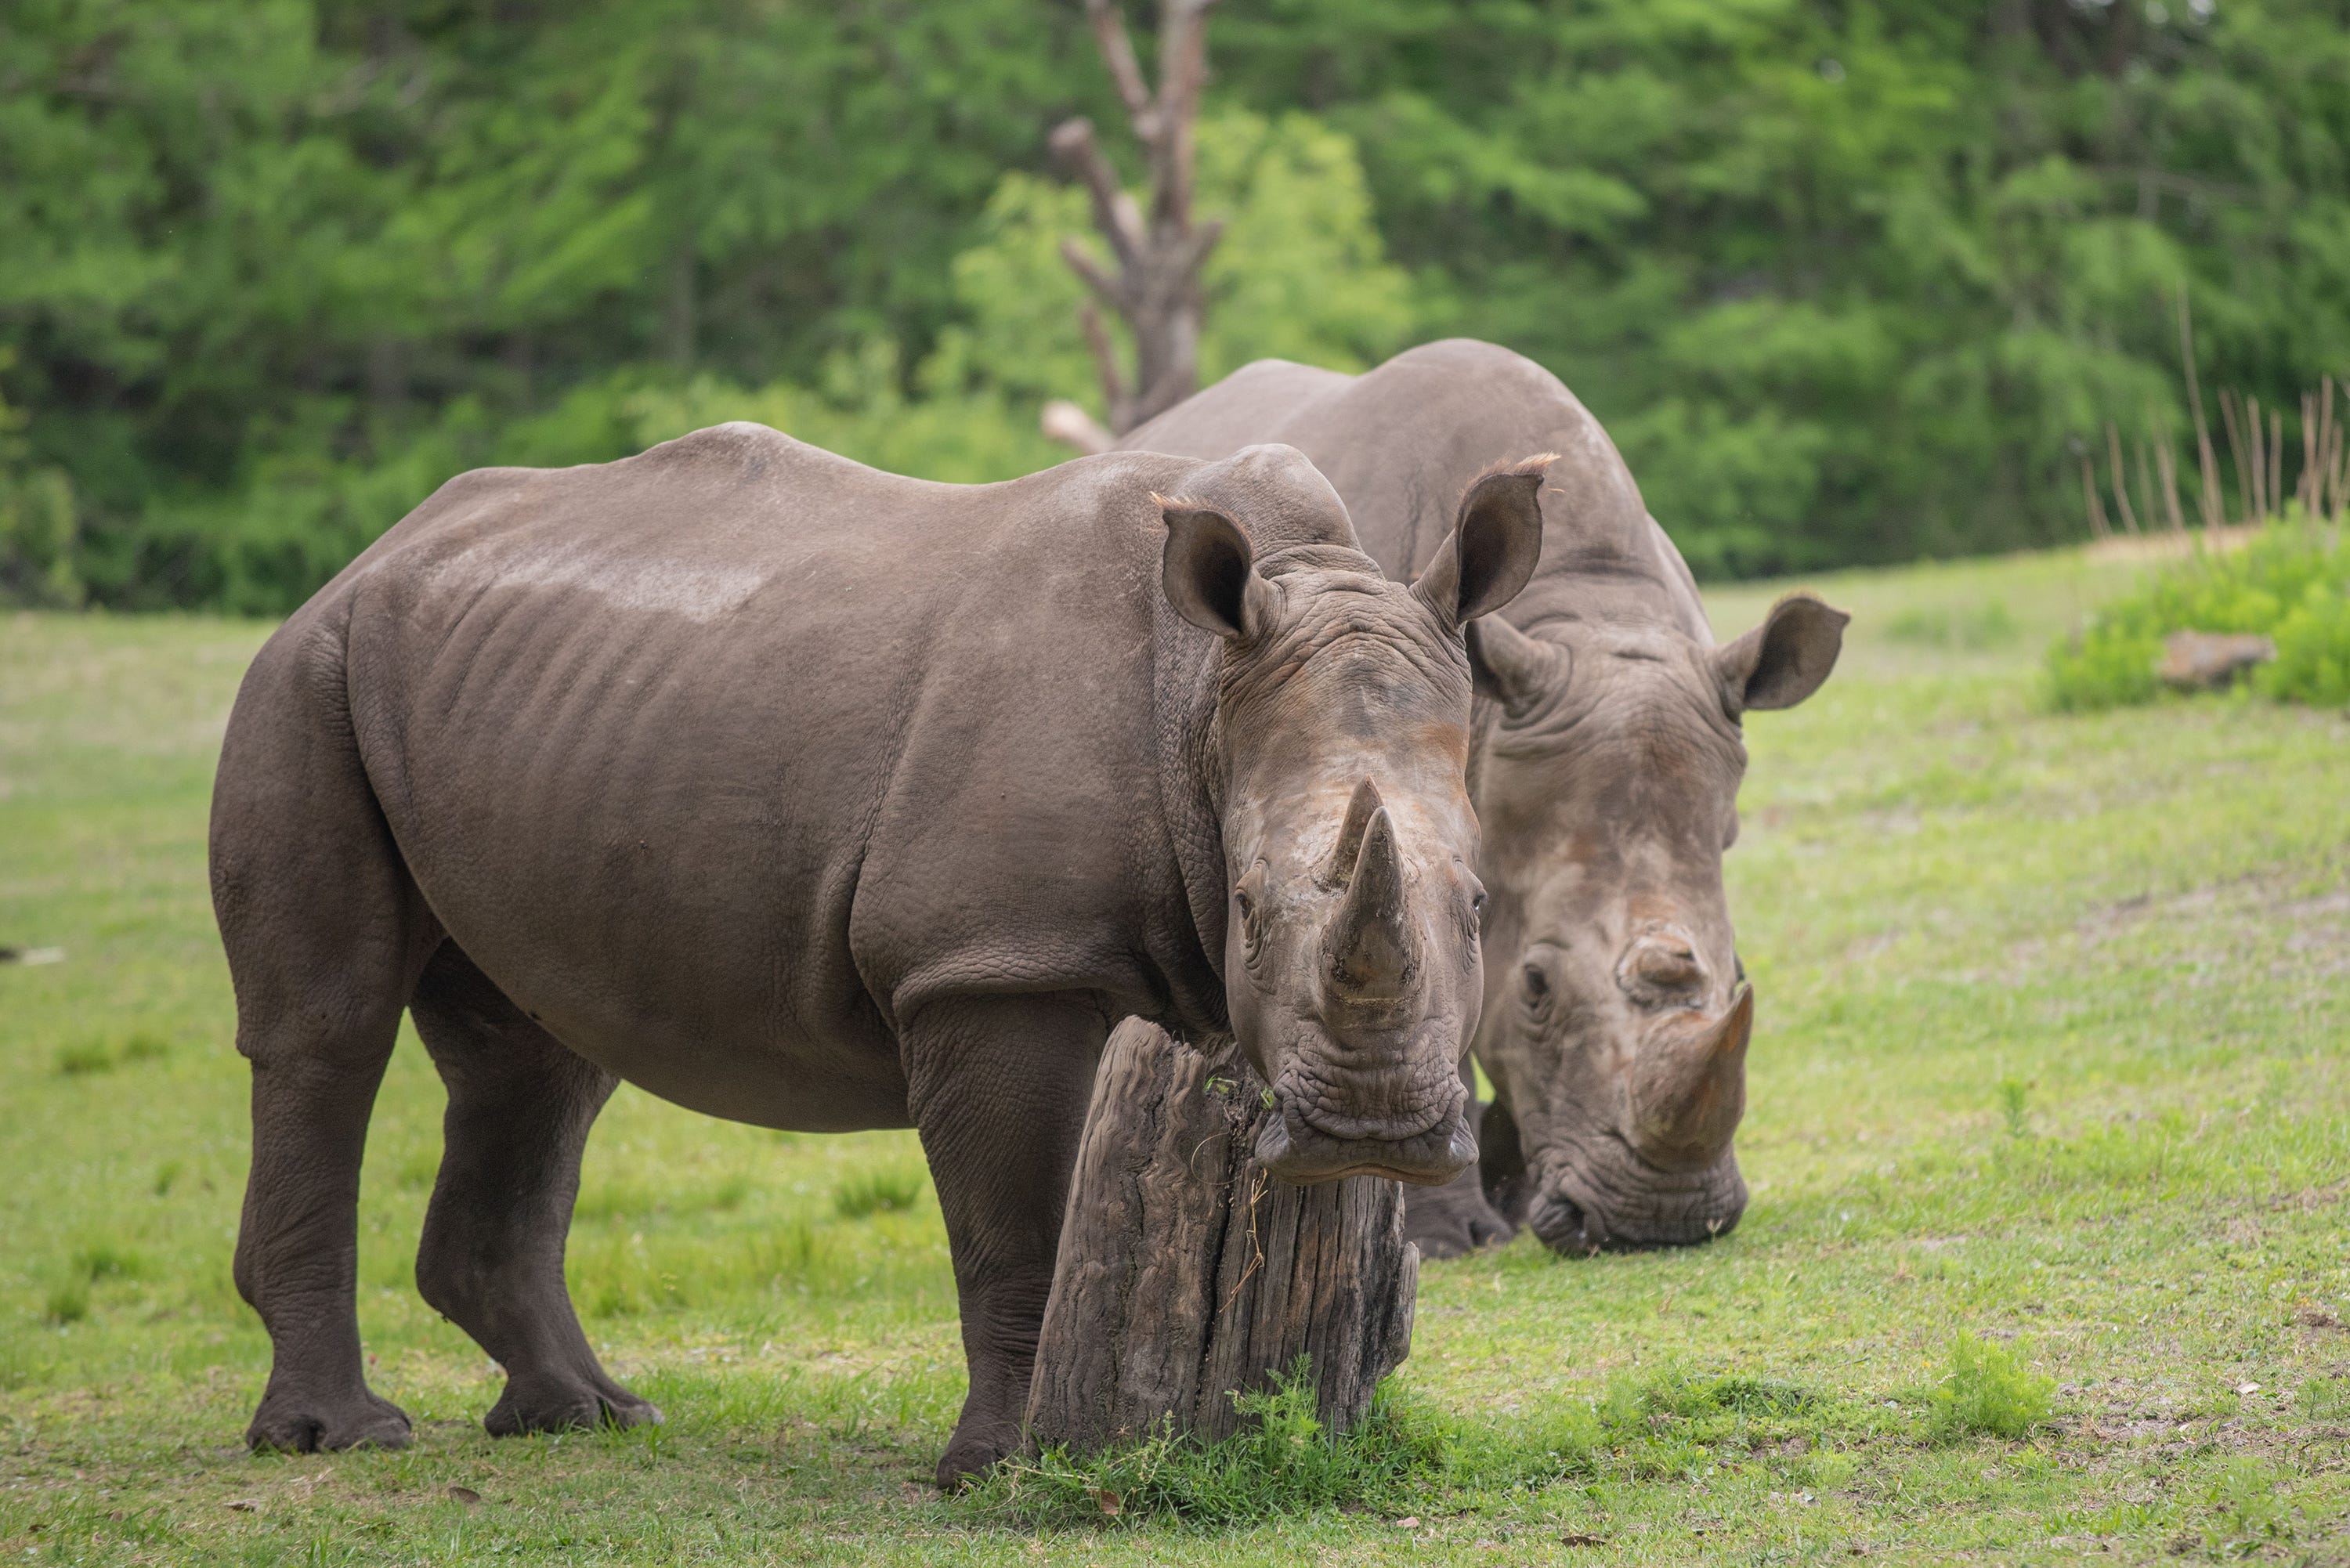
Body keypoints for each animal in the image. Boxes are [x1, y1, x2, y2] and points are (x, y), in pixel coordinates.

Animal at [208, 428, 1548, 1485]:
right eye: (1254, 908)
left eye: (1482, 907)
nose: (1375, 1128)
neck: (1203, 699)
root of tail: (369, 557)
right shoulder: (986, 965)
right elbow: (1015, 1231)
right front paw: (999, 1469)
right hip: (305, 674)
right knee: (331, 1032)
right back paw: (343, 1436)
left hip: (505, 708)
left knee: (534, 1060)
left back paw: (589, 1416)